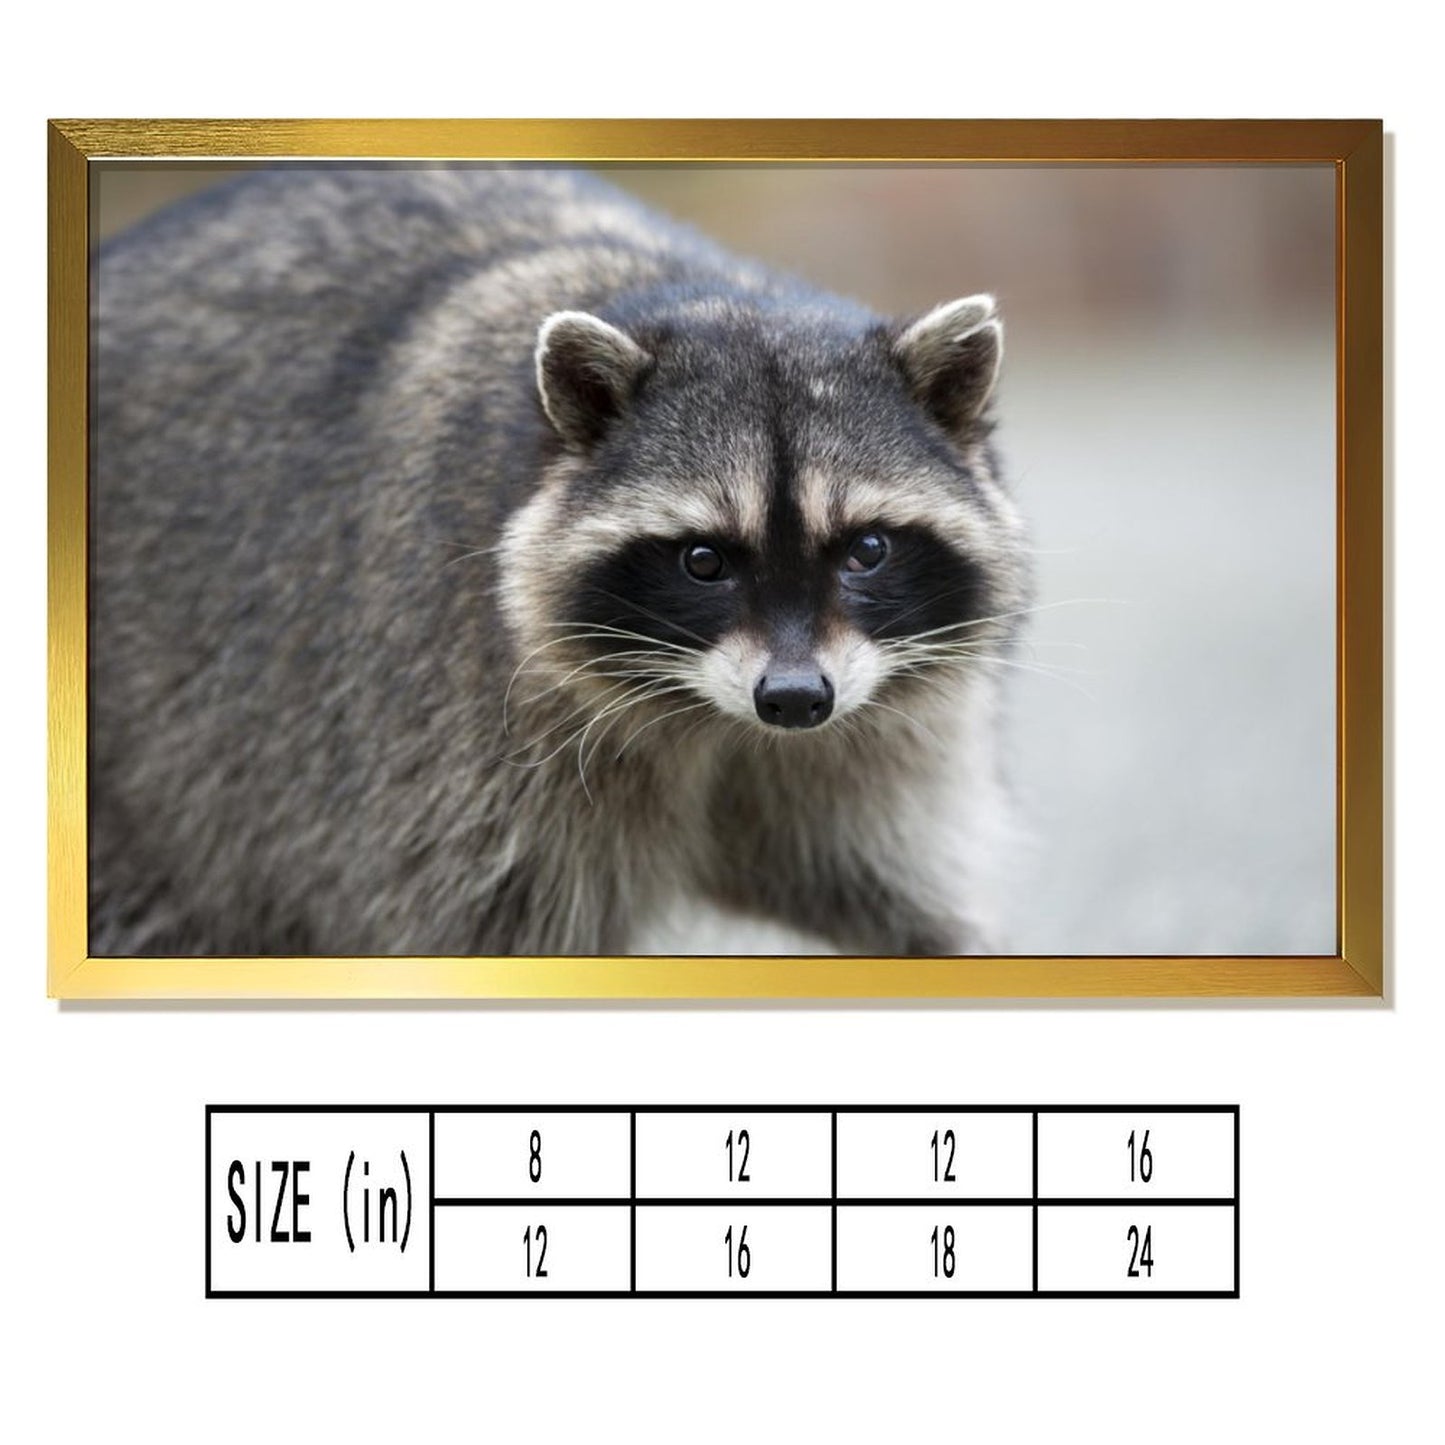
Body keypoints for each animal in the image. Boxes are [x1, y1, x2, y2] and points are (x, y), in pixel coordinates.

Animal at [90, 166, 1030, 958]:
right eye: (702, 561)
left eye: (866, 550)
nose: (795, 698)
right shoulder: (457, 734)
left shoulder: (882, 744)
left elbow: (903, 891)